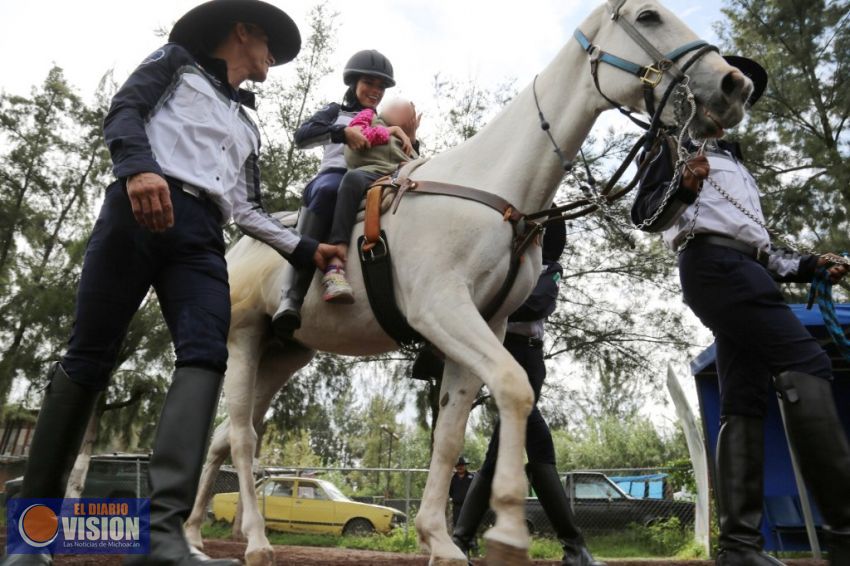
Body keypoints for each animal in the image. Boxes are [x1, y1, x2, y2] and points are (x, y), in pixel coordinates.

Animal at [186, 2, 748, 564]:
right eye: (649, 16)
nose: (734, 84)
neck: (494, 193)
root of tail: (240, 245)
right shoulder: (443, 311)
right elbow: (514, 388)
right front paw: (507, 533)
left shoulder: (481, 325)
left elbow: (451, 436)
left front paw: (440, 540)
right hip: (244, 340)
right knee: (242, 437)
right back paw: (256, 540)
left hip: (284, 354)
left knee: (224, 437)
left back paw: (193, 533)